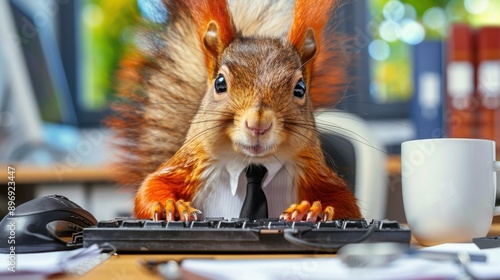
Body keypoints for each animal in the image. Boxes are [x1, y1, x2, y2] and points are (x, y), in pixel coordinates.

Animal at [108, 0, 360, 223]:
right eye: (220, 83)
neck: (252, 164)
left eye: (300, 88)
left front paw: (313, 209)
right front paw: (169, 205)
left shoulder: (312, 170)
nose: (258, 124)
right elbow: (151, 186)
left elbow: (346, 204)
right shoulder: (194, 163)